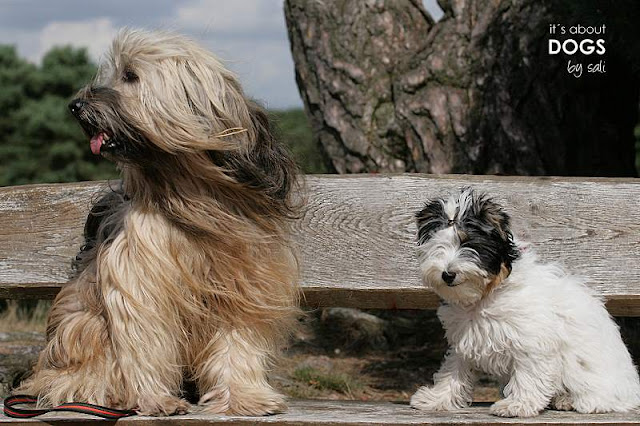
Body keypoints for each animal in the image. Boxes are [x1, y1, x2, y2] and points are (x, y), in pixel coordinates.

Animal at [16, 29, 302, 416]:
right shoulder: (140, 280)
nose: (75, 105)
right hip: (81, 329)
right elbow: (145, 339)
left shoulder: (242, 283)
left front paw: (244, 397)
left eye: (130, 75)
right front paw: (155, 399)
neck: (192, 196)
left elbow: (236, 340)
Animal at [410, 189, 640, 416]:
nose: (447, 274)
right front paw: (438, 398)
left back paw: (568, 399)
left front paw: (517, 404)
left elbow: (528, 374)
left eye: (468, 244)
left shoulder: (530, 340)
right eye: (439, 246)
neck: (487, 293)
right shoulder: (465, 337)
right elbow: (454, 368)